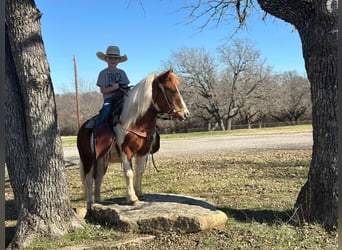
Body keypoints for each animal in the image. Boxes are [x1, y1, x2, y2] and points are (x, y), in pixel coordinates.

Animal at [76, 69, 190, 209]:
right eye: (172, 90)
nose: (185, 113)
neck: (135, 122)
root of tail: (83, 128)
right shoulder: (126, 151)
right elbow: (129, 173)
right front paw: (132, 198)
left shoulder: (143, 152)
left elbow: (139, 171)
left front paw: (139, 193)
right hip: (88, 159)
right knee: (88, 179)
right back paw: (89, 203)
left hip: (101, 160)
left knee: (98, 177)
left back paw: (99, 200)